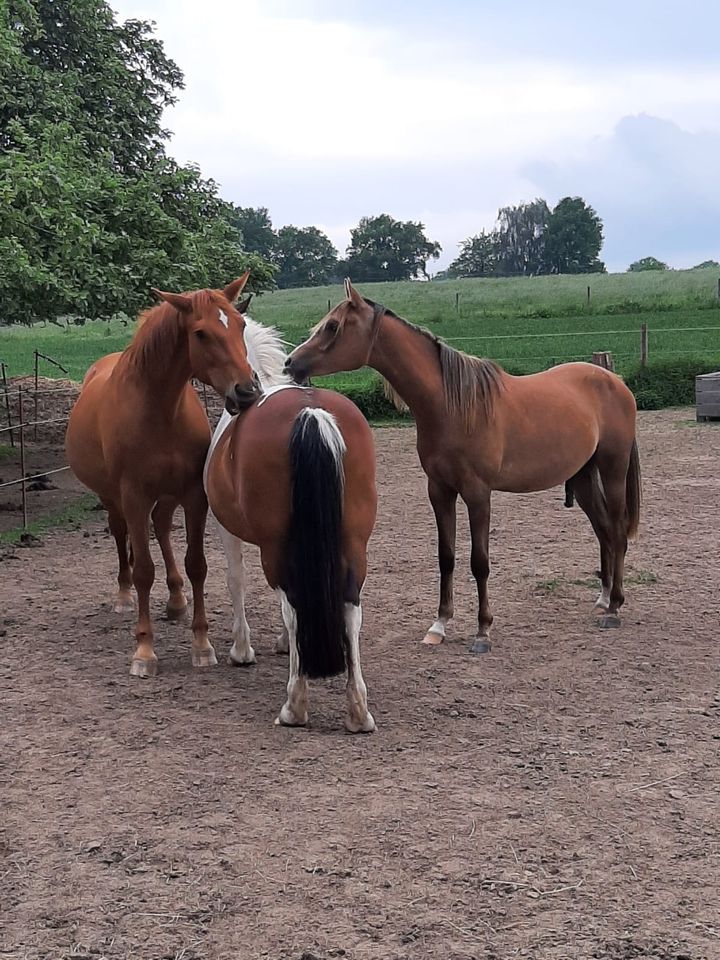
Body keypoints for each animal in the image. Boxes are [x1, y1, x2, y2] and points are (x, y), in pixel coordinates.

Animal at [64, 274, 262, 676]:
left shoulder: (193, 496)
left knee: (162, 528)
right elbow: (144, 570)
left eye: (240, 324)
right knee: (123, 537)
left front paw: (201, 645)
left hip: (168, 497)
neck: (160, 410)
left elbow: (196, 565)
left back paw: (176, 599)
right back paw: (124, 595)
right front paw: (144, 651)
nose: (247, 392)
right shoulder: (134, 496)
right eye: (201, 333)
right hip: (113, 499)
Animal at [204, 386, 376, 732]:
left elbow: (235, 581)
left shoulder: (225, 528)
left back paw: (293, 708)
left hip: (272, 548)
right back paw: (358, 712)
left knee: (293, 606)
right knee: (350, 610)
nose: (236, 397)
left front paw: (241, 650)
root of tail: (310, 412)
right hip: (354, 546)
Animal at [286, 278, 640, 652]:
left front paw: (482, 630)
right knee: (604, 531)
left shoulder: (477, 493)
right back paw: (603, 598)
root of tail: (615, 382)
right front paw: (439, 625)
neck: (450, 405)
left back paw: (615, 608)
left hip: (613, 470)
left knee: (617, 532)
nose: (292, 363)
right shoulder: (440, 491)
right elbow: (447, 557)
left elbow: (479, 561)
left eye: (333, 326)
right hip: (584, 477)